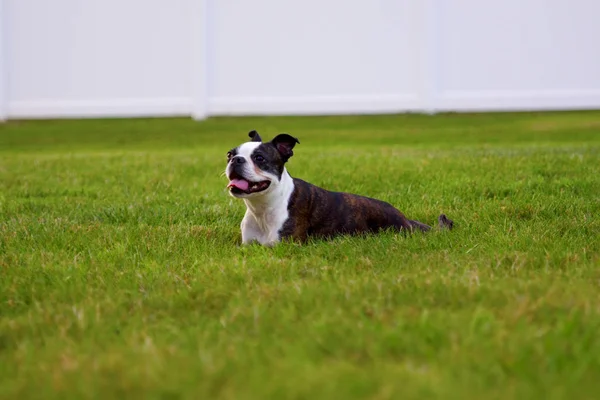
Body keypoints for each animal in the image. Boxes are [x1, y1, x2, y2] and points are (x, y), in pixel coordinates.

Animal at [227, 130, 452, 245]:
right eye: (230, 154)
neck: (262, 207)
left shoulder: (285, 245)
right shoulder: (247, 246)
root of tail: (405, 219)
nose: (236, 160)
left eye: (259, 158)